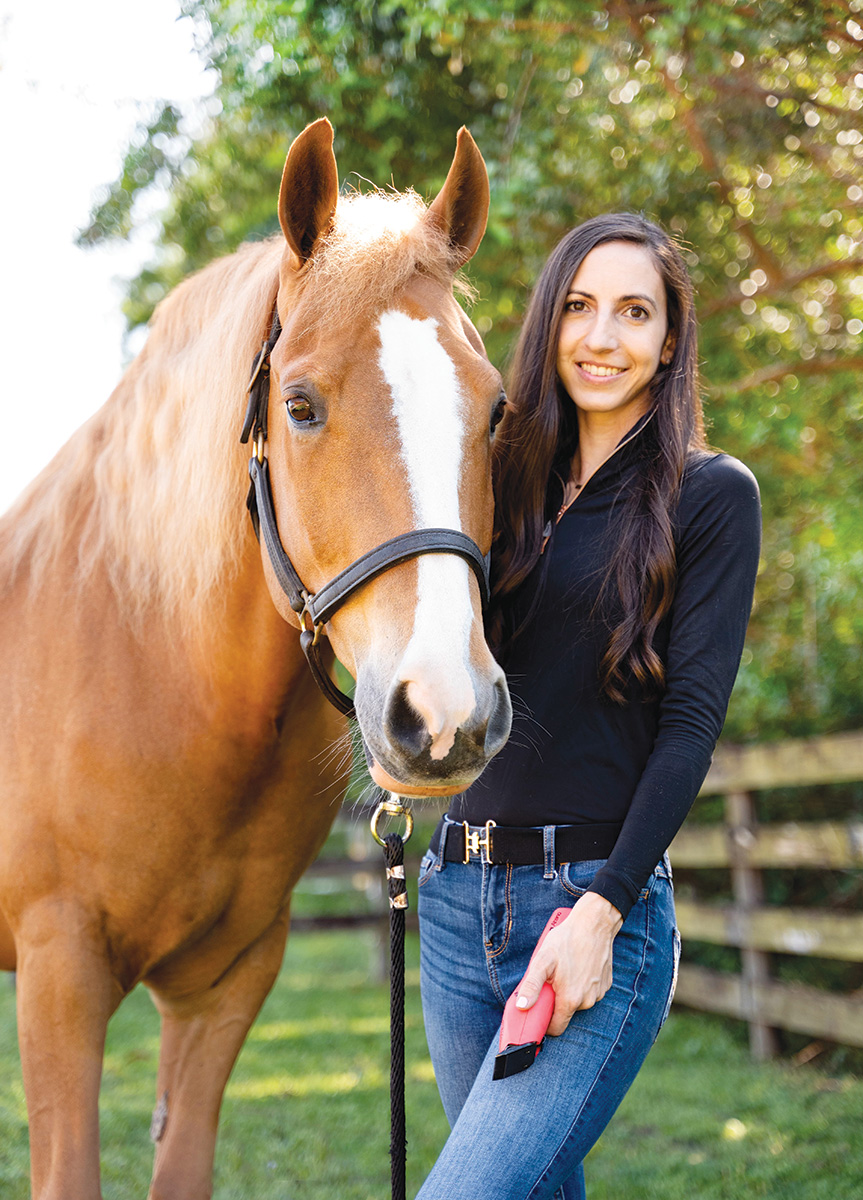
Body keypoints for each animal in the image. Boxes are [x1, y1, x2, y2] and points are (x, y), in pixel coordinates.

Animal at [0, 118, 511, 1200]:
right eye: (301, 404)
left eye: (495, 411)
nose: (445, 713)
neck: (150, 665)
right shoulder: (61, 977)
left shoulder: (226, 986)